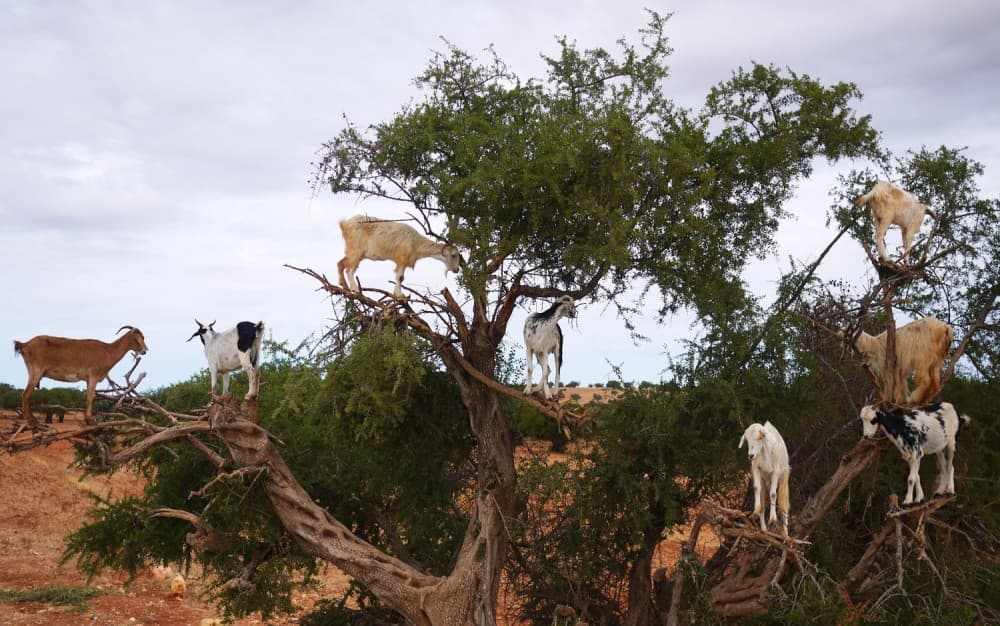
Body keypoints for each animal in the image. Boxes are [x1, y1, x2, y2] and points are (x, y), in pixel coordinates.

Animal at [13, 326, 148, 424]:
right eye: (136, 339)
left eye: (143, 337)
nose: (145, 351)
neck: (107, 351)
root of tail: (24, 345)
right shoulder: (93, 376)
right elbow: (91, 397)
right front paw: (90, 419)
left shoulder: (88, 380)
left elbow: (88, 396)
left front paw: (87, 418)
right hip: (35, 371)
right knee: (26, 394)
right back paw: (31, 419)